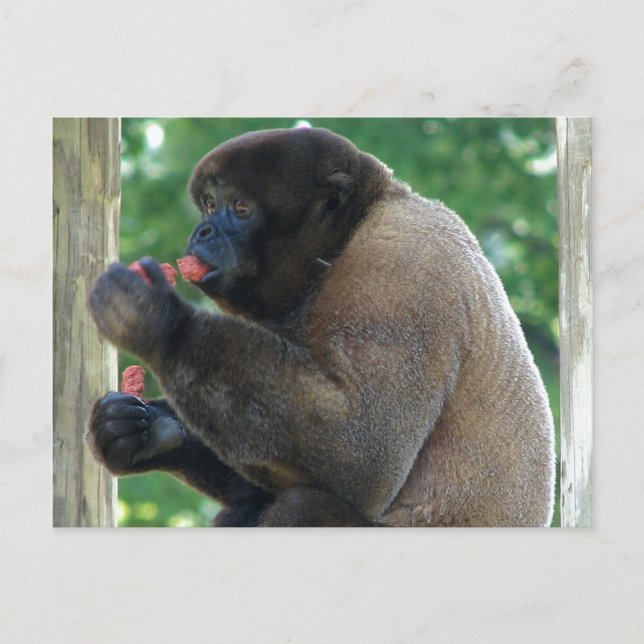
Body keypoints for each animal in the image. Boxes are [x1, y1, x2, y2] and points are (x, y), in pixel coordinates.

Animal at [87, 127, 555, 527]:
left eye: (240, 207)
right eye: (209, 205)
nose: (201, 230)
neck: (357, 224)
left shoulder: (399, 272)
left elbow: (361, 455)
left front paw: (161, 323)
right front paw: (141, 432)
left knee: (304, 504)